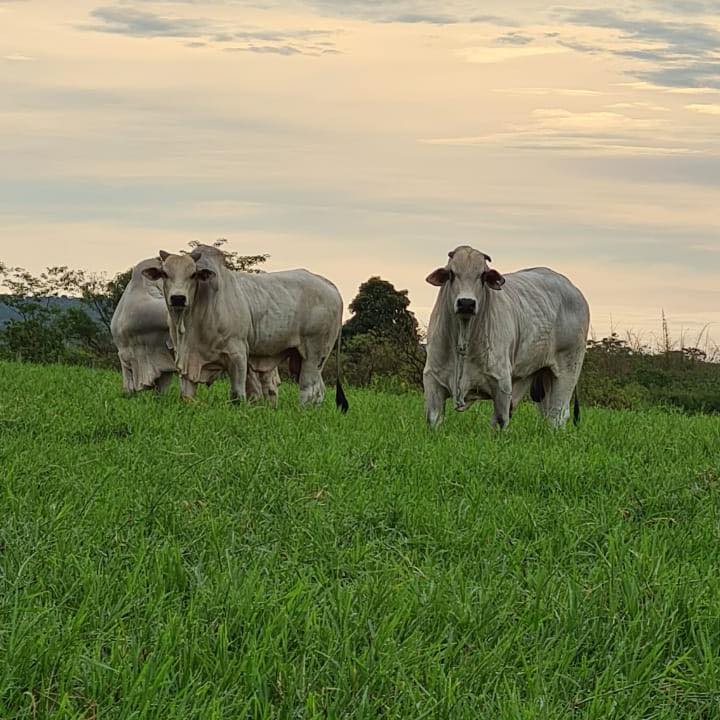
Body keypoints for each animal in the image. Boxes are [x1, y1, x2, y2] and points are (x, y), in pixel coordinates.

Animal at [141, 245, 348, 410]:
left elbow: (237, 395)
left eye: (193, 275)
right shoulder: (187, 358)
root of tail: (330, 286)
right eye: (165, 274)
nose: (178, 298)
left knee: (309, 389)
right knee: (319, 389)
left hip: (315, 354)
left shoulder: (238, 354)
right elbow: (187, 395)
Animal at [424, 245, 588, 430]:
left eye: (483, 275)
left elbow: (500, 421)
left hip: (568, 369)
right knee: (546, 413)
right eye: (451, 273)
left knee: (558, 414)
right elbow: (433, 419)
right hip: (542, 377)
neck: (463, 338)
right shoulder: (432, 381)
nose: (466, 303)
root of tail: (572, 289)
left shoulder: (501, 384)